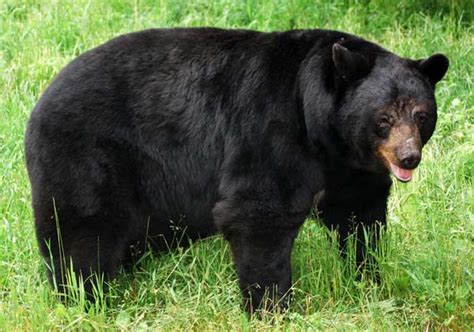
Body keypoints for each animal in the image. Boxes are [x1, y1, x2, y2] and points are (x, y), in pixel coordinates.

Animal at [25, 27, 448, 312]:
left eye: (421, 114)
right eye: (384, 117)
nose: (408, 157)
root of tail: (39, 104)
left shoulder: (349, 168)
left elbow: (360, 217)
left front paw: (368, 280)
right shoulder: (270, 130)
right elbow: (258, 211)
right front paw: (272, 307)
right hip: (88, 158)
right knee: (81, 231)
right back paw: (83, 297)